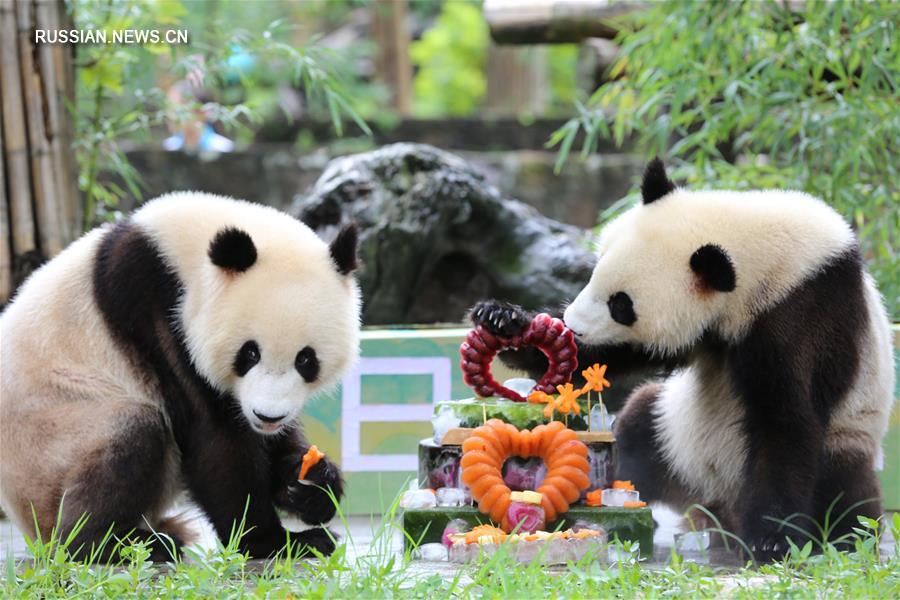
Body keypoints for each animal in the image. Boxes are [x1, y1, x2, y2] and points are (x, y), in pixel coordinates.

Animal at [0, 193, 358, 564]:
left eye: (306, 359)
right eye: (249, 353)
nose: (268, 415)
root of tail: (28, 525)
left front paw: (312, 484)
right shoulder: (156, 314)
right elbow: (213, 433)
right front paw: (277, 542)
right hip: (53, 443)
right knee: (132, 430)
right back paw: (117, 543)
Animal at [472, 161, 892, 564]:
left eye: (621, 304)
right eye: (595, 270)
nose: (574, 325)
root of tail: (715, 511)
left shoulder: (801, 312)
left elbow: (786, 420)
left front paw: (770, 540)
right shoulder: (707, 329)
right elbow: (613, 354)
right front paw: (505, 320)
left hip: (846, 436)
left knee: (843, 488)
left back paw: (843, 535)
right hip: (672, 435)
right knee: (639, 426)